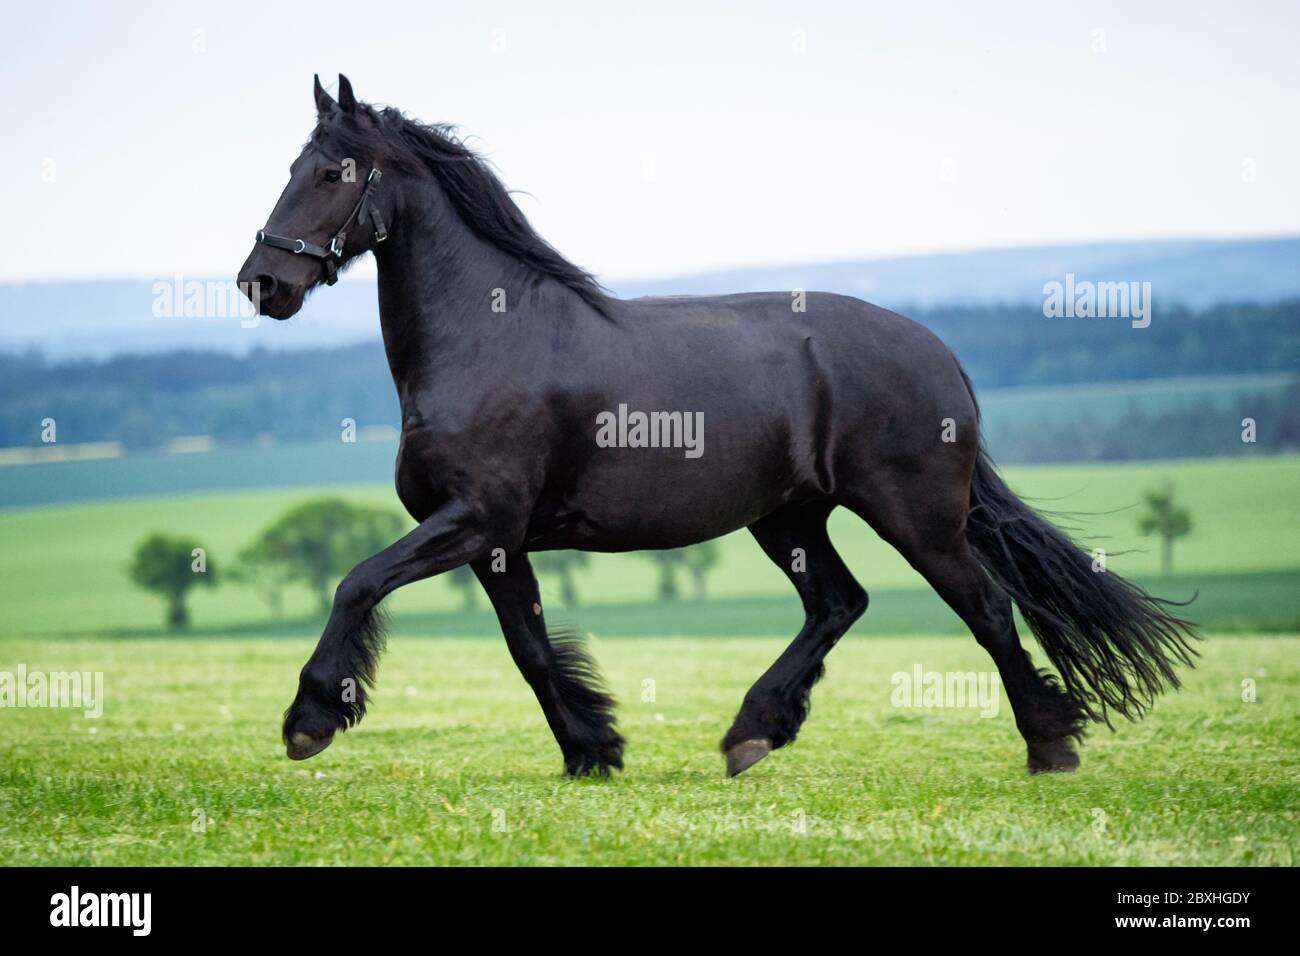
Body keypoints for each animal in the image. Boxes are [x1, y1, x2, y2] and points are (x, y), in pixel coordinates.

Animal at [237, 75, 1196, 778]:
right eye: (289, 166)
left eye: (331, 173)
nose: (262, 283)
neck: (491, 334)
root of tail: (938, 354)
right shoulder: (499, 543)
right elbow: (530, 648)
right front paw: (593, 752)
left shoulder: (473, 520)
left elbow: (356, 582)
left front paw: (309, 719)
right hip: (790, 517)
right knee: (839, 603)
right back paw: (754, 732)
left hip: (916, 516)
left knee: (987, 607)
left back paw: (1049, 746)